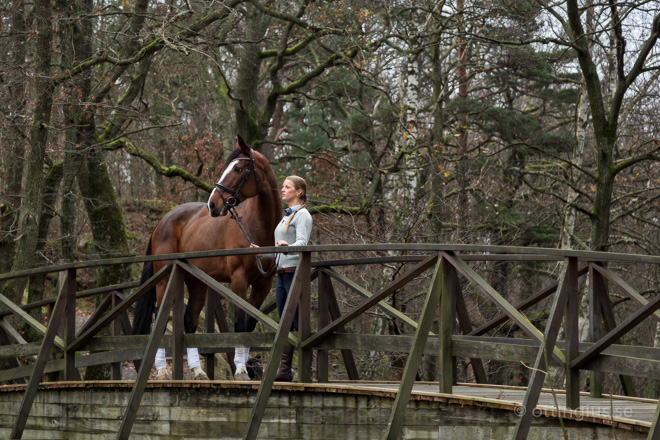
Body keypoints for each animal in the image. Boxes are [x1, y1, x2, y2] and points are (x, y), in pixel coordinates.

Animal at [131, 136, 282, 380]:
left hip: (197, 283)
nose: (213, 204)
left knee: (190, 322)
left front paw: (243, 368)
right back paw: (162, 371)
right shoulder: (239, 279)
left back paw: (198, 370)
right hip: (165, 279)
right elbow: (239, 324)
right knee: (160, 321)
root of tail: (164, 220)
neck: (258, 226)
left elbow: (249, 325)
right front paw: (241, 369)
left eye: (238, 169)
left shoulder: (263, 283)